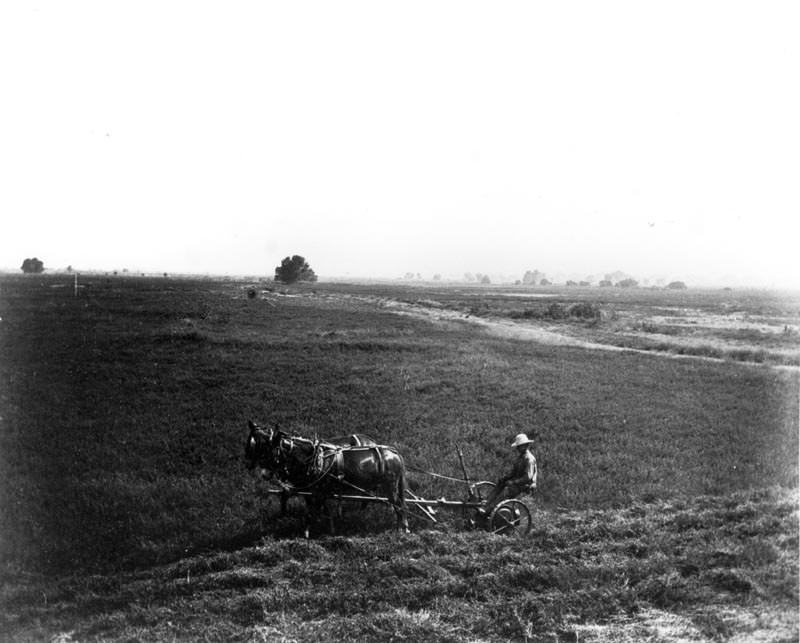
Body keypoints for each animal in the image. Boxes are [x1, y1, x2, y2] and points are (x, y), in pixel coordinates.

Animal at [244, 422, 406, 540]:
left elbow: (311, 512)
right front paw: (329, 530)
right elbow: (321, 511)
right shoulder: (314, 491)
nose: (249, 464)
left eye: (258, 444)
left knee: (398, 505)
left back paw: (401, 529)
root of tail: (394, 453)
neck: (313, 459)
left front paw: (306, 535)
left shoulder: (316, 491)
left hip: (389, 486)